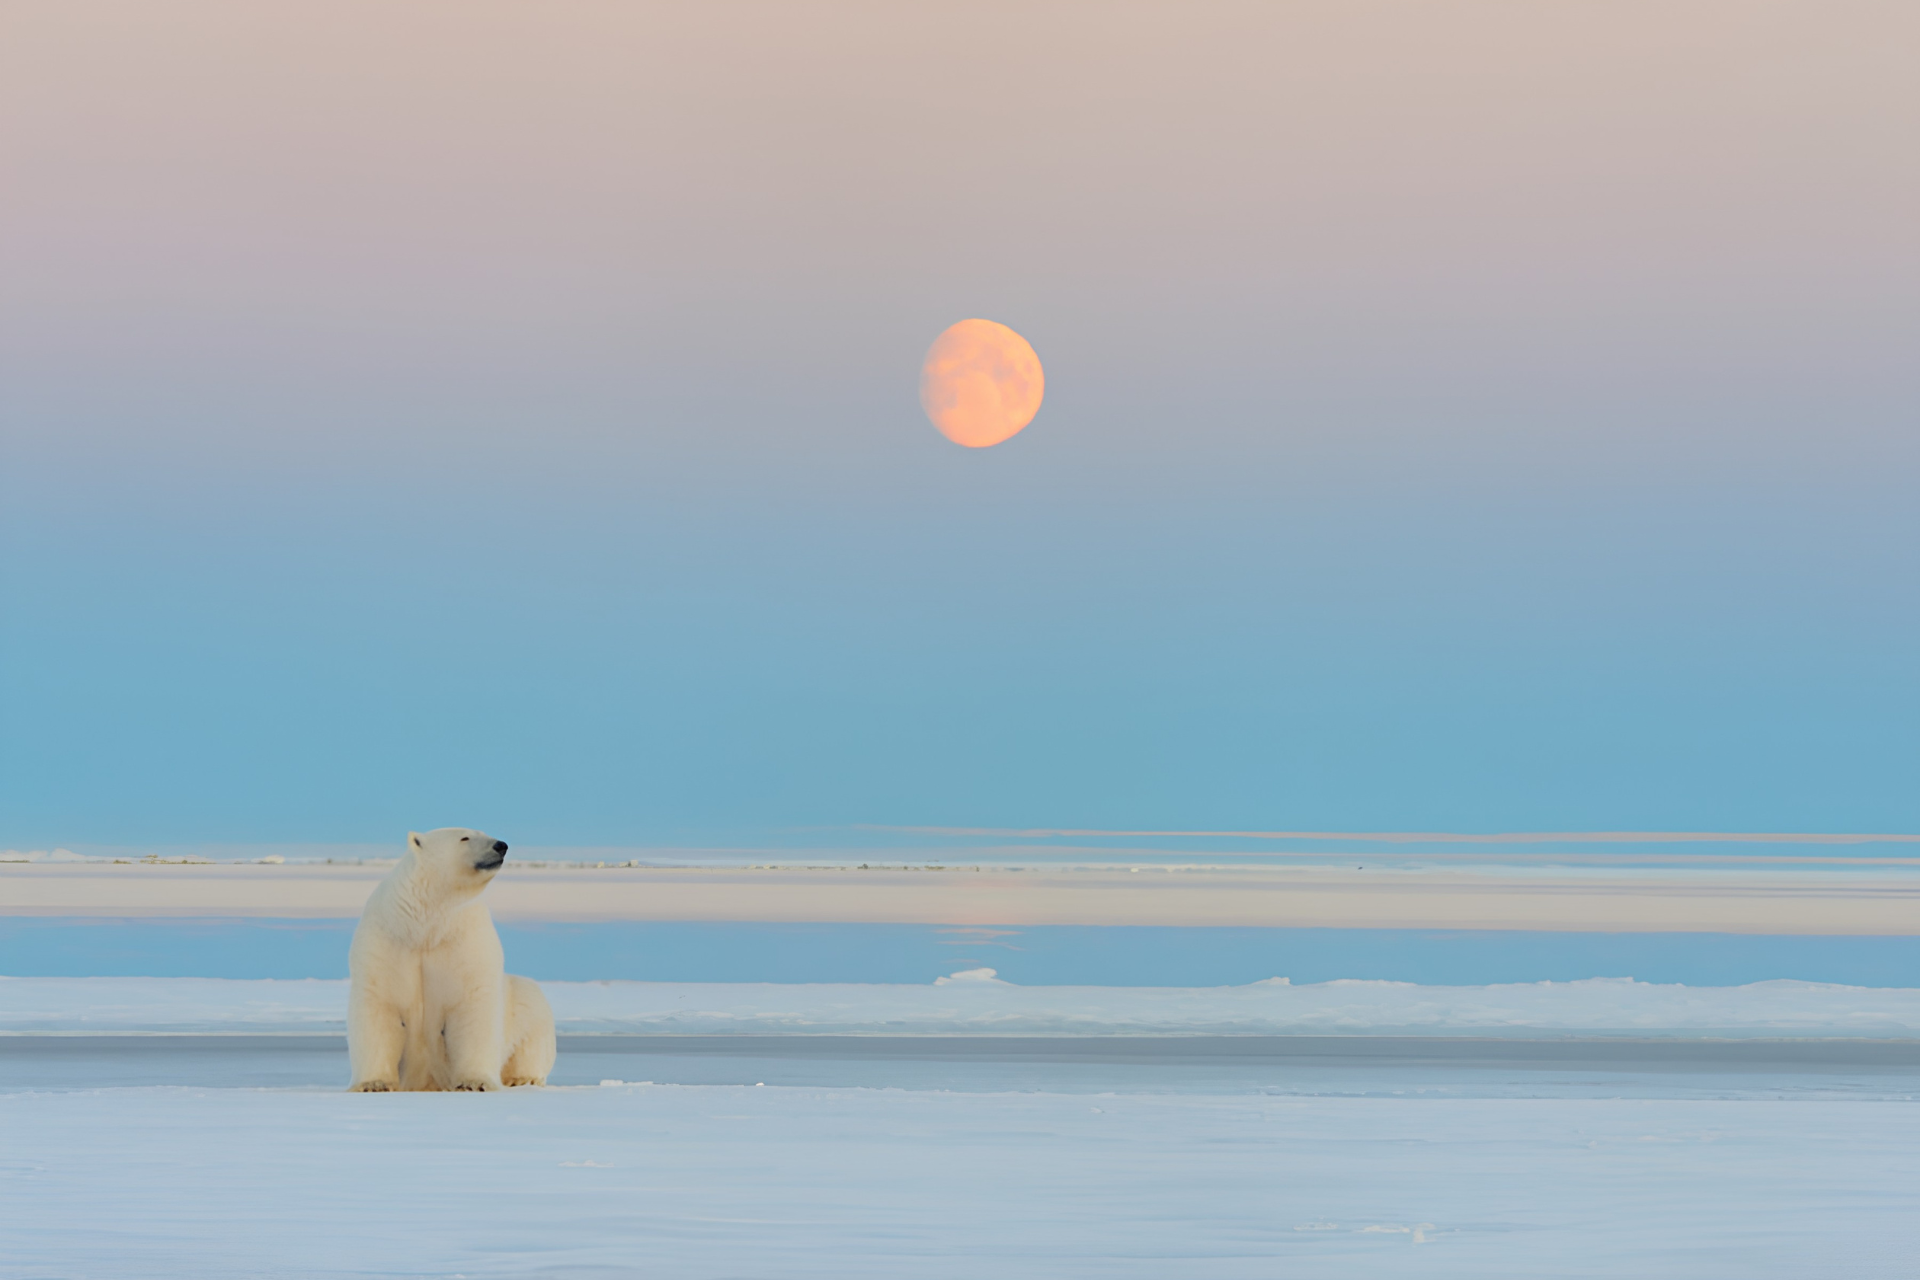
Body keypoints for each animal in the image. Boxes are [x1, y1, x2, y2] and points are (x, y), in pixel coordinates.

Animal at [347, 827, 556, 1091]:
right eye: (465, 837)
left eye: (483, 832)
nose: (501, 845)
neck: (425, 927)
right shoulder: (386, 941)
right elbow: (379, 1005)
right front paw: (374, 1084)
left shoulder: (465, 939)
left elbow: (473, 1004)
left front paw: (475, 1083)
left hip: (527, 1006)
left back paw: (522, 1078)